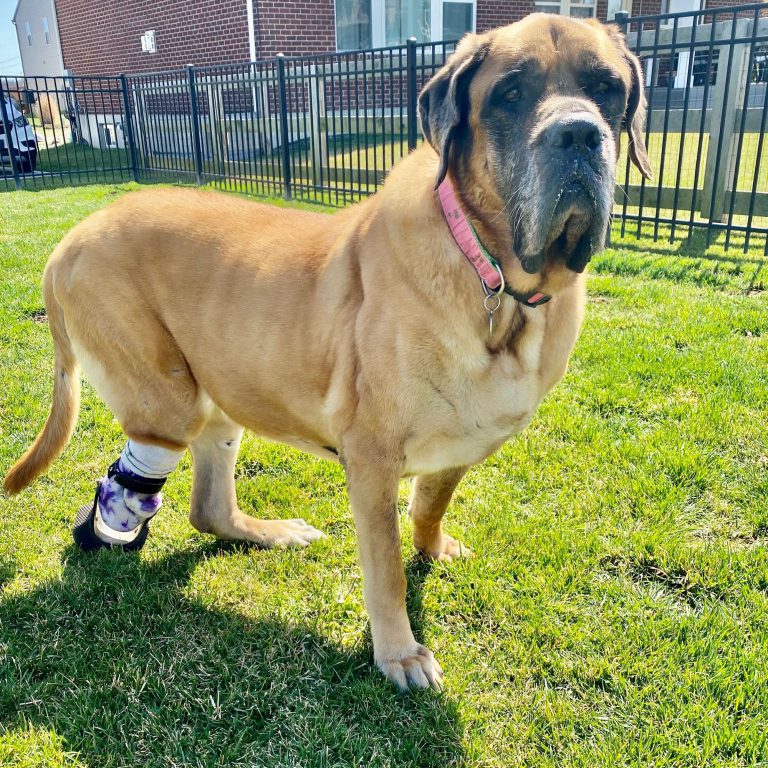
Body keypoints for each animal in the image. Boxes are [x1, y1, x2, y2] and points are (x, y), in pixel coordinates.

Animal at [3, 13, 652, 688]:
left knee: (209, 508)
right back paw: (111, 531)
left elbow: (431, 504)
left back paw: (266, 533)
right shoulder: (371, 458)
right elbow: (387, 570)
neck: (493, 277)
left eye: (606, 89)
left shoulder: (465, 443)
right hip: (169, 400)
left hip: (222, 392)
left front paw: (433, 548)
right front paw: (399, 652)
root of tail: (67, 243)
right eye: (510, 94)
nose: (579, 134)